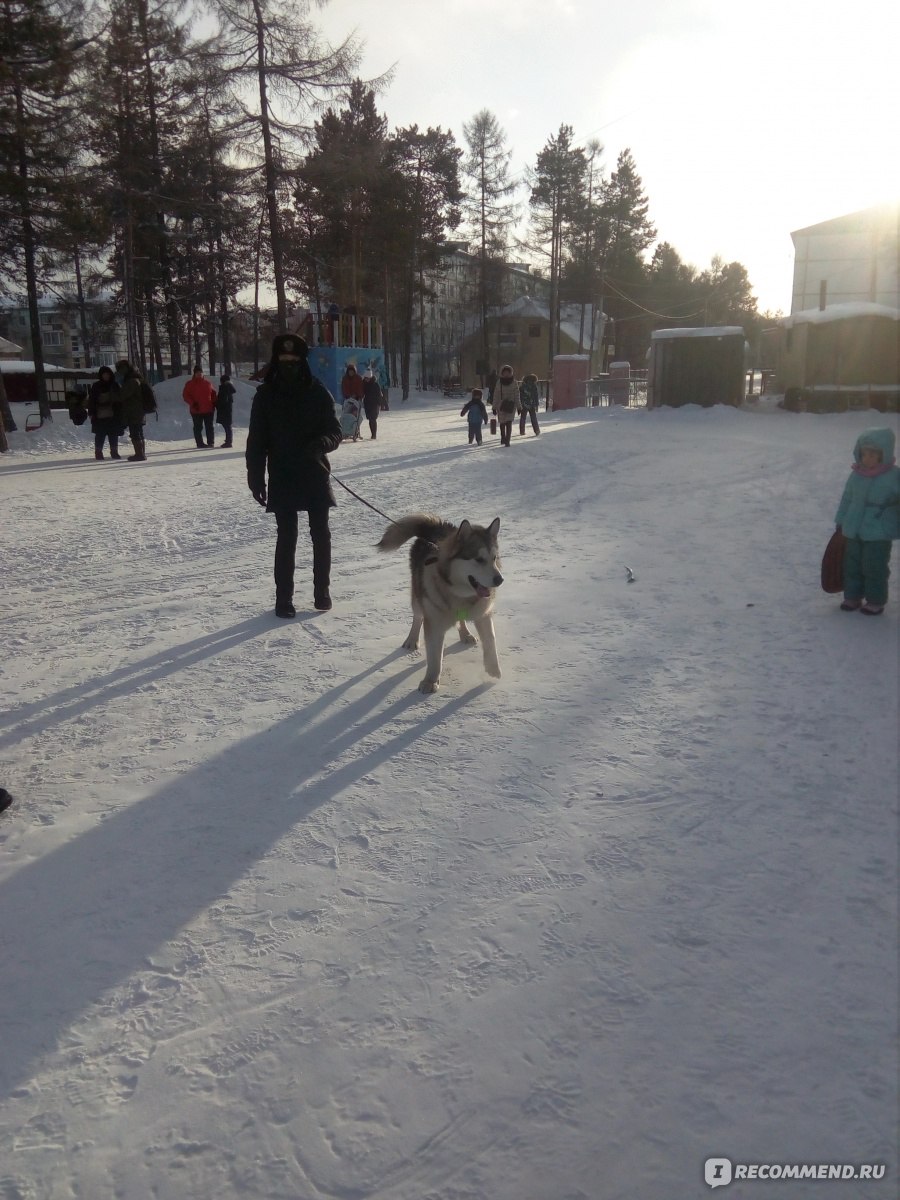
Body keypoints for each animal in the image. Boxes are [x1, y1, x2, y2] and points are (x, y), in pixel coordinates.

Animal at [376, 513, 504, 696]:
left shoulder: (483, 614)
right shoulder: (434, 623)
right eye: (479, 559)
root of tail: (437, 527)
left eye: (494, 558)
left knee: (460, 620)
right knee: (417, 616)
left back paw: (465, 634)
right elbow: (435, 657)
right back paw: (411, 640)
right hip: (418, 595)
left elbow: (490, 641)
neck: (460, 594)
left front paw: (493, 668)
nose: (500, 580)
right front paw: (430, 681)